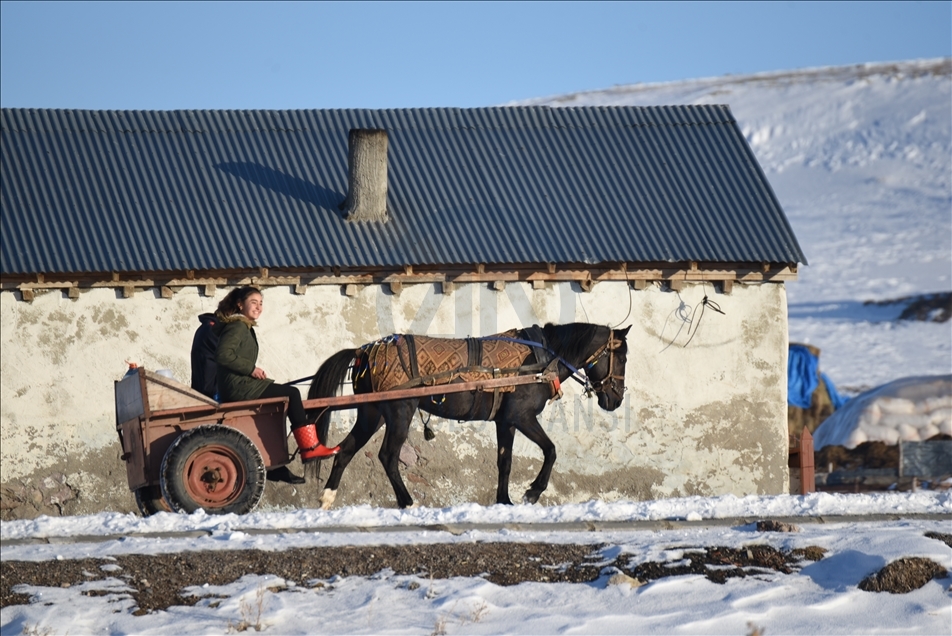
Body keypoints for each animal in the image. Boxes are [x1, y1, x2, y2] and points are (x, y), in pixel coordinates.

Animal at [308, 320, 628, 510]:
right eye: (622, 357)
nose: (616, 400)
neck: (541, 361)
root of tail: (364, 352)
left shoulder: (506, 422)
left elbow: (505, 462)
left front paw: (504, 501)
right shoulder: (523, 417)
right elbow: (551, 450)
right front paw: (532, 492)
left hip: (371, 413)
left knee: (346, 450)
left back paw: (327, 498)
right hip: (399, 411)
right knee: (388, 456)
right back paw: (407, 502)